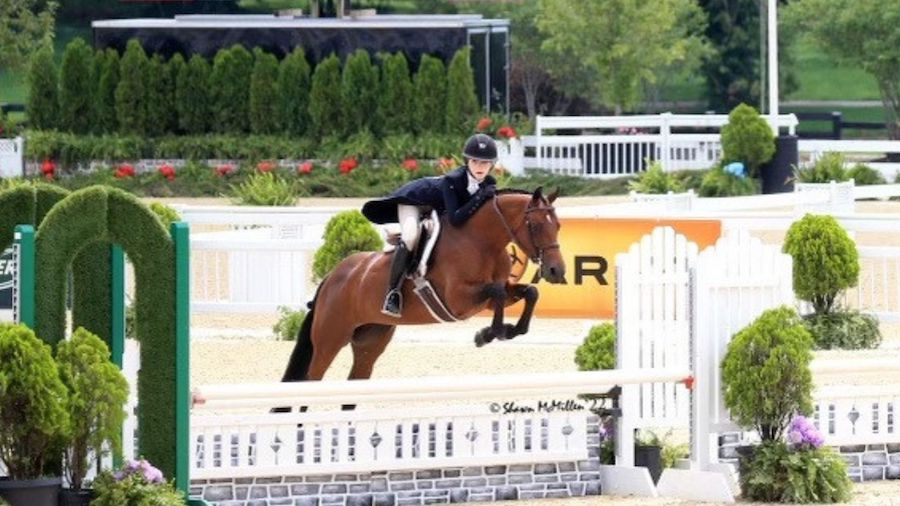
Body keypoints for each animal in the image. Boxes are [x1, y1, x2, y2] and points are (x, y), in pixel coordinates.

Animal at [278, 188, 568, 390]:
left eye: (558, 226)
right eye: (536, 225)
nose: (557, 271)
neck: (484, 242)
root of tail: (331, 277)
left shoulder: (492, 295)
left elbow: (529, 293)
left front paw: (505, 331)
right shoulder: (459, 300)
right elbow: (496, 293)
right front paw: (489, 334)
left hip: (370, 339)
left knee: (357, 376)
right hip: (330, 339)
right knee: (311, 379)